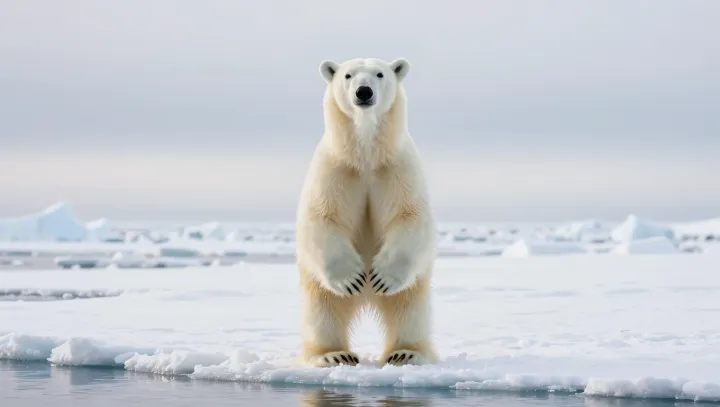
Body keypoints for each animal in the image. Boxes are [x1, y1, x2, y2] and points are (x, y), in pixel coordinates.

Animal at [295, 57, 438, 368]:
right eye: (348, 75)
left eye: (380, 74)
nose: (363, 92)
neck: (366, 155)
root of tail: (368, 300)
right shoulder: (335, 169)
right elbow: (321, 217)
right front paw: (353, 278)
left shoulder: (398, 168)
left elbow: (410, 216)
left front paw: (381, 276)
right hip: (317, 287)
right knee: (322, 309)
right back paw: (332, 354)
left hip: (414, 288)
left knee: (410, 307)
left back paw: (407, 353)